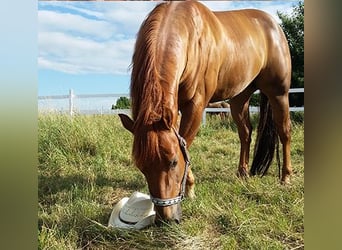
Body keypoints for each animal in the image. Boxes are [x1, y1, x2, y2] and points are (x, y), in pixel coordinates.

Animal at [118, 0, 292, 223]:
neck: (190, 36)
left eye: (173, 162)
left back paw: (286, 177)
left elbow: (186, 143)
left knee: (284, 132)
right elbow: (183, 141)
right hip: (239, 99)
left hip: (279, 93)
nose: (166, 219)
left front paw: (190, 189)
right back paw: (243, 173)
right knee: (245, 133)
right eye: (141, 166)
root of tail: (274, 26)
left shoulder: (196, 105)